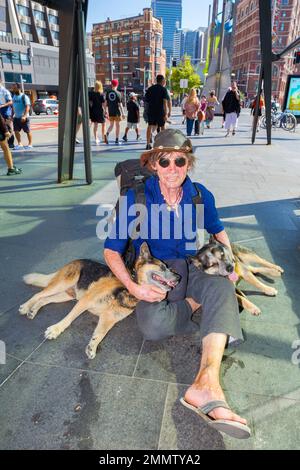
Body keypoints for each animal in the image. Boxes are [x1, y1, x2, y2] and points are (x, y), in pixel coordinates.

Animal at [21, 244, 180, 358]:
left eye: (169, 268)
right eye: (162, 267)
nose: (179, 278)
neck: (129, 287)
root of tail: (76, 260)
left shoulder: (108, 318)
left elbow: (100, 333)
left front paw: (92, 346)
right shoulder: (85, 301)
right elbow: (68, 319)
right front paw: (56, 329)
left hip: (68, 295)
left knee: (45, 299)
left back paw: (33, 310)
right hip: (64, 284)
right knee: (39, 294)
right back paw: (25, 307)